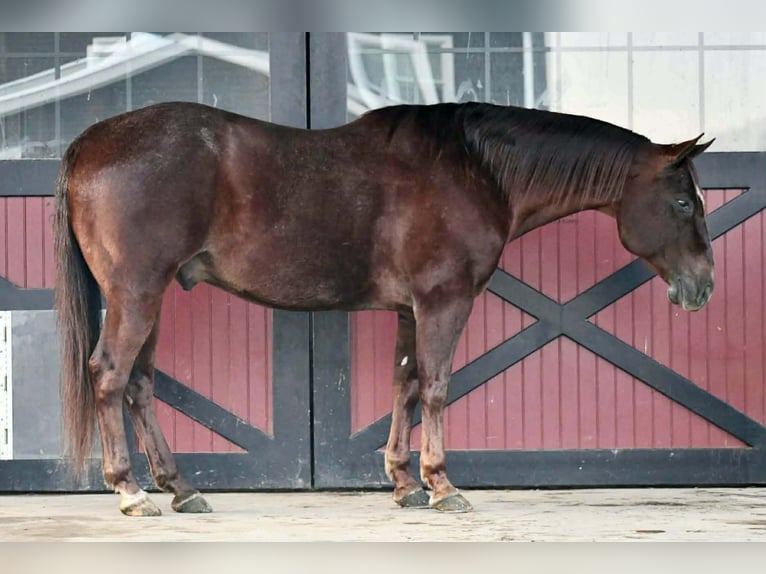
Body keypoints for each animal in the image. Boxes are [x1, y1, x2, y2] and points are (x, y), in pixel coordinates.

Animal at [54, 101, 715, 516]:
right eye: (683, 203)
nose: (703, 286)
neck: (476, 168)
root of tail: (90, 142)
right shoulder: (444, 301)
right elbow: (438, 386)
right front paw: (442, 485)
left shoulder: (409, 309)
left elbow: (406, 384)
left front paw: (403, 483)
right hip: (137, 293)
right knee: (110, 377)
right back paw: (130, 492)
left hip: (152, 295)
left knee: (139, 384)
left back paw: (181, 489)